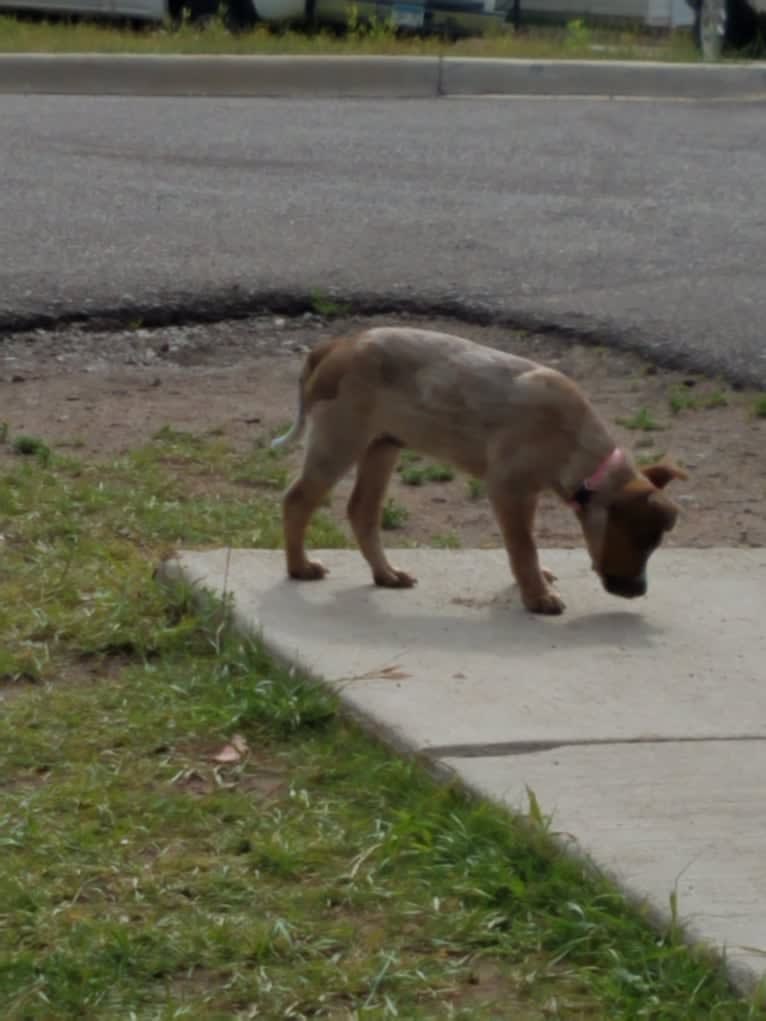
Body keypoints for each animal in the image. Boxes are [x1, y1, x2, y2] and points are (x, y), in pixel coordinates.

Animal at [273, 326, 686, 612]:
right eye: (641, 538)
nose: (639, 591)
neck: (576, 445)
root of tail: (336, 346)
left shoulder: (527, 494)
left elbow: (525, 543)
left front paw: (536, 582)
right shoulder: (507, 489)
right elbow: (523, 547)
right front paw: (538, 596)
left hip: (382, 446)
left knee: (361, 511)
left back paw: (385, 574)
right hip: (338, 441)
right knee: (297, 500)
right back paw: (299, 567)